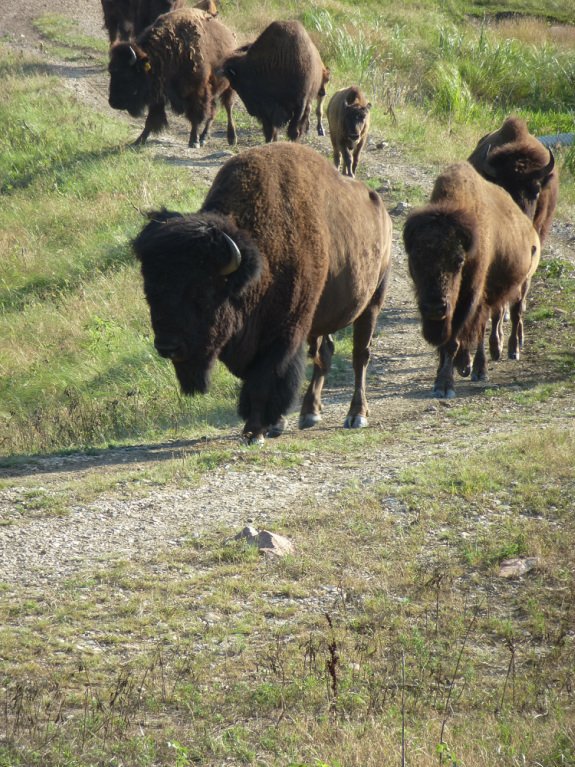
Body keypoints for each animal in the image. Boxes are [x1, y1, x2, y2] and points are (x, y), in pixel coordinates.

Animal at [108, 8, 236, 148]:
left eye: (126, 75)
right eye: (111, 72)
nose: (113, 103)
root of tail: (231, 36)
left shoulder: (197, 92)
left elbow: (195, 117)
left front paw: (193, 141)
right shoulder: (158, 96)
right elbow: (151, 120)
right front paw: (138, 141)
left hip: (229, 88)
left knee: (228, 108)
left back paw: (231, 138)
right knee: (213, 112)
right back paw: (203, 138)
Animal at [133, 143, 392, 442]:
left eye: (202, 294)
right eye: (150, 293)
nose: (167, 346)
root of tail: (382, 211)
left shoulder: (283, 334)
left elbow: (264, 381)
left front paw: (254, 432)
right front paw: (273, 424)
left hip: (372, 302)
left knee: (360, 355)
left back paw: (356, 415)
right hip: (322, 317)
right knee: (324, 352)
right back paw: (309, 413)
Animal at [403, 162, 540, 398]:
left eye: (458, 261)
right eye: (415, 259)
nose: (434, 308)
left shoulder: (469, 297)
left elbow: (452, 341)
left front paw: (444, 386)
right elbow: (447, 343)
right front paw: (445, 374)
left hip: (514, 288)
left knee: (504, 318)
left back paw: (488, 364)